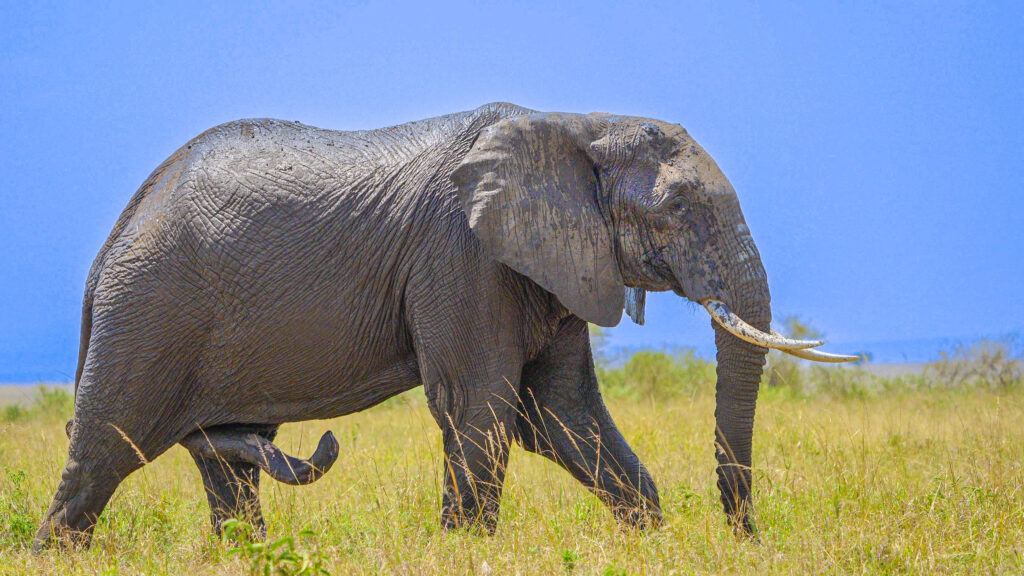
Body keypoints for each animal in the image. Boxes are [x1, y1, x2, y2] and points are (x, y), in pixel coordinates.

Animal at [34, 101, 856, 545]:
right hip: (150, 311)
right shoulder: (460, 254)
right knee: (102, 455)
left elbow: (560, 415)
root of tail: (112, 241)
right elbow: (482, 405)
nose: (745, 539)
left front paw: (650, 540)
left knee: (229, 467)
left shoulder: (550, 262)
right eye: (679, 207)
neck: (578, 123)